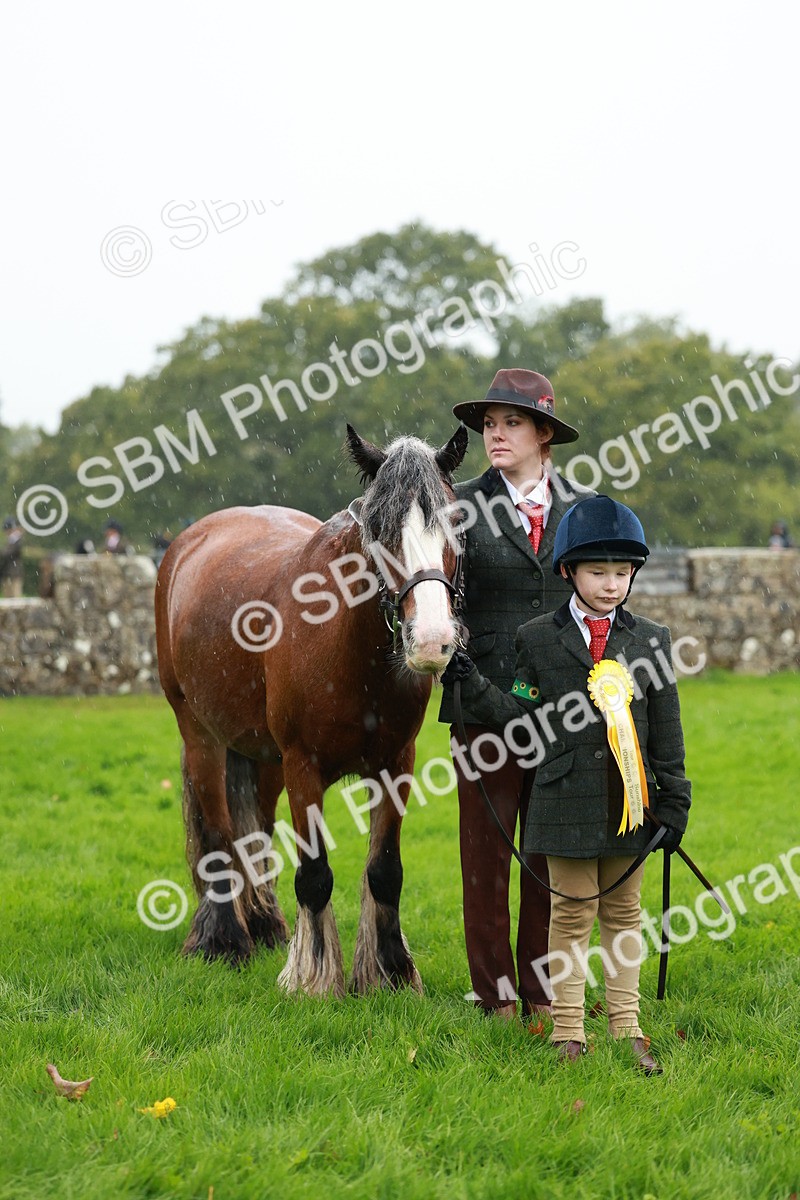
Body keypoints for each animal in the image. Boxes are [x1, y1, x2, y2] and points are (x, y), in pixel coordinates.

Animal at [155, 423, 468, 997]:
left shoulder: (396, 764)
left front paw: (388, 970)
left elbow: (385, 871)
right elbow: (315, 874)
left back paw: (263, 923)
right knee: (218, 833)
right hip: (201, 736)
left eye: (455, 524)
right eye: (378, 529)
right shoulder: (304, 767)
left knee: (253, 829)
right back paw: (225, 940)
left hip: (261, 757)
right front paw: (314, 977)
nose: (432, 640)